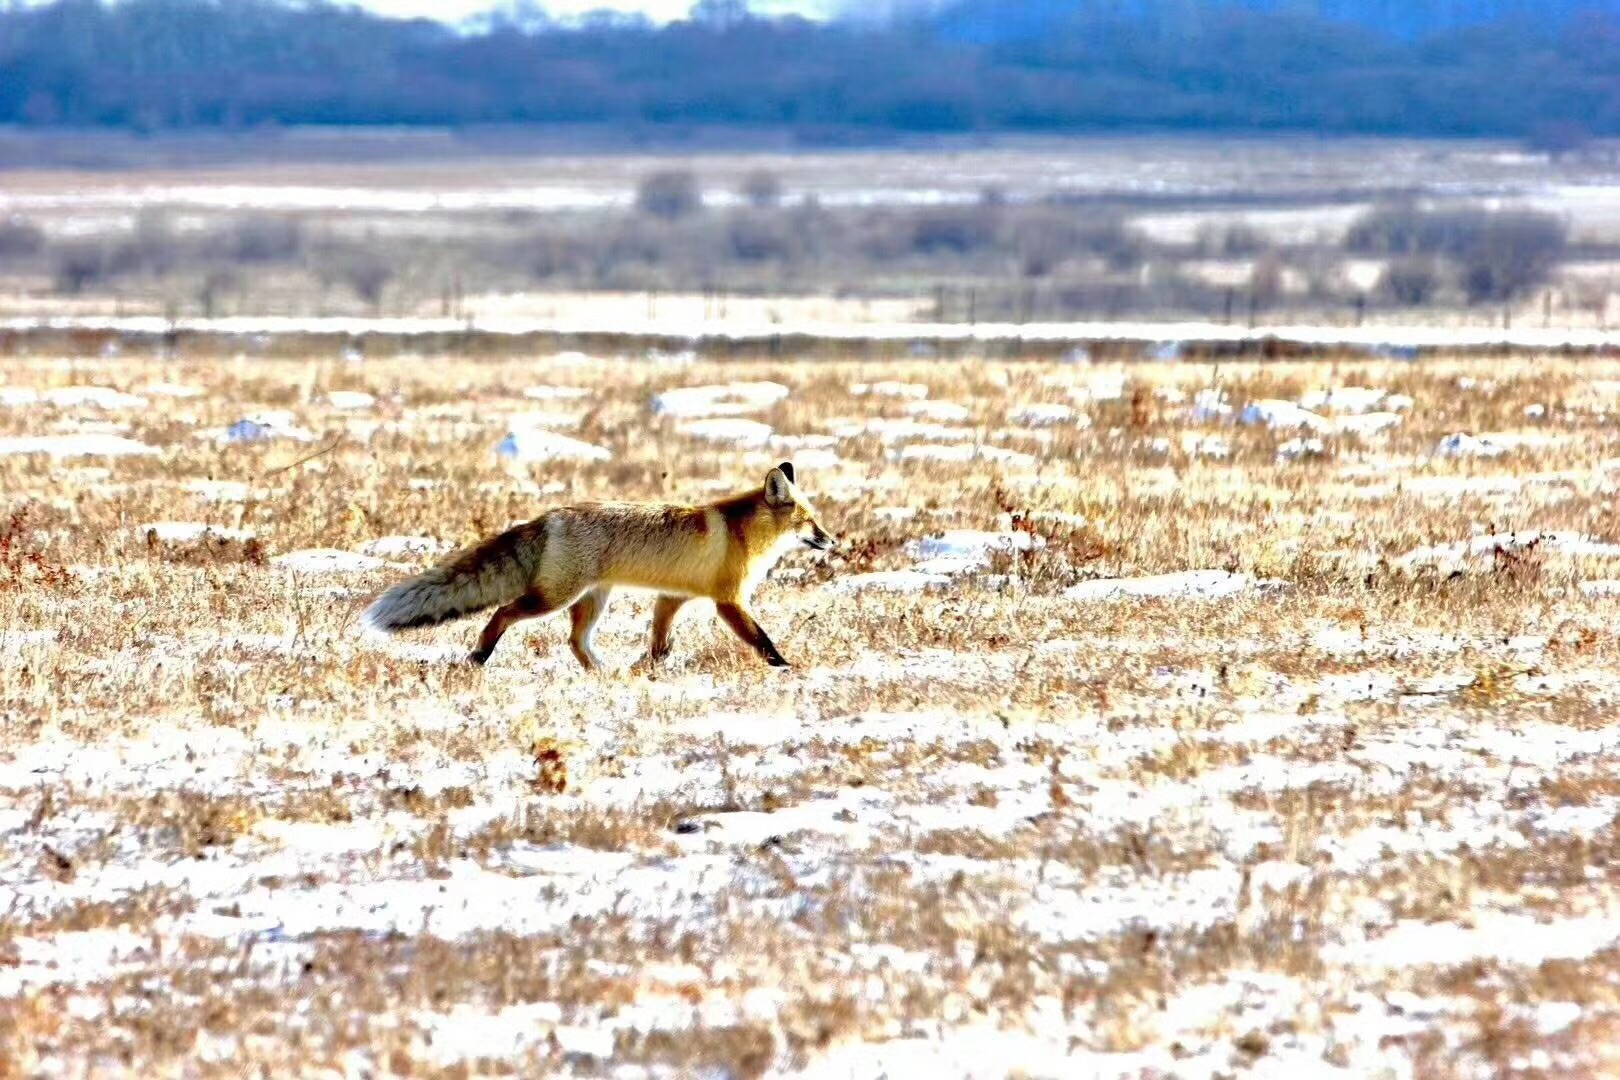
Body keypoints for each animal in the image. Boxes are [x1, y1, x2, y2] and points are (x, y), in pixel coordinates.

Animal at [359, 463, 829, 670]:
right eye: (810, 522)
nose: (832, 540)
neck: (741, 534)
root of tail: (551, 515)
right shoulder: (729, 601)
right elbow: (762, 639)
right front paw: (785, 667)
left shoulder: (672, 597)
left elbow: (659, 642)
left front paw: (648, 670)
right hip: (555, 597)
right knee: (503, 613)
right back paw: (480, 655)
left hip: (591, 600)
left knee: (574, 641)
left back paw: (599, 672)